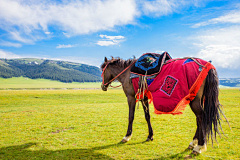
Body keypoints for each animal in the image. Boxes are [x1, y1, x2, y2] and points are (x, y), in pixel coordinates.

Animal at [100, 55, 228, 154]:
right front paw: (150, 136)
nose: (103, 86)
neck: (127, 73)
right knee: (199, 119)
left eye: (103, 71)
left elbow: (131, 116)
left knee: (201, 117)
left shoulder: (131, 97)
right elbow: (147, 117)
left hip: (195, 100)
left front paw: (127, 136)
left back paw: (199, 146)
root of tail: (208, 66)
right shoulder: (144, 98)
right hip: (199, 98)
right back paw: (193, 143)